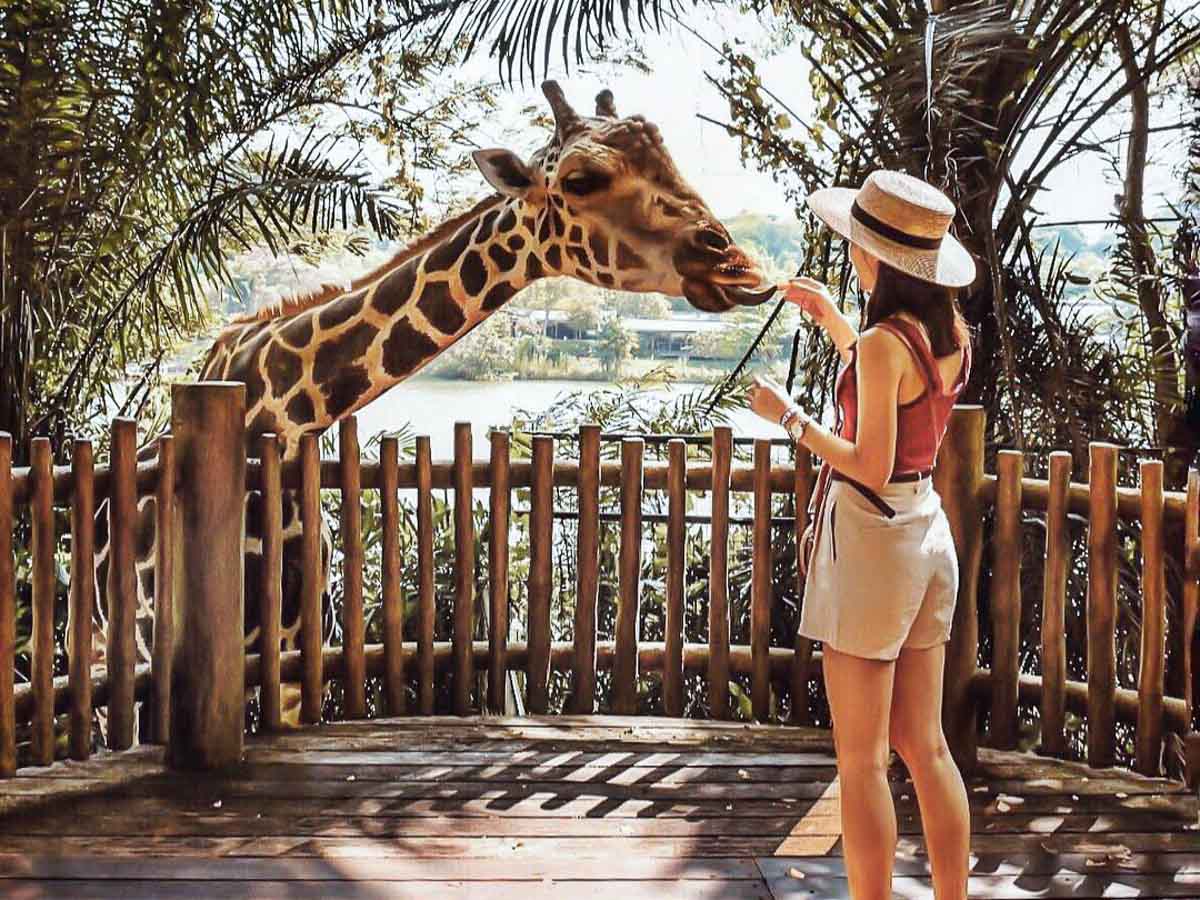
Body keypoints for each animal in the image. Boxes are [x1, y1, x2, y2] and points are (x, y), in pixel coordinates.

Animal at [87, 79, 777, 739]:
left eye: (665, 151)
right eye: (580, 180)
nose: (735, 264)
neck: (279, 418)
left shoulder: (294, 652)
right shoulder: (169, 654)